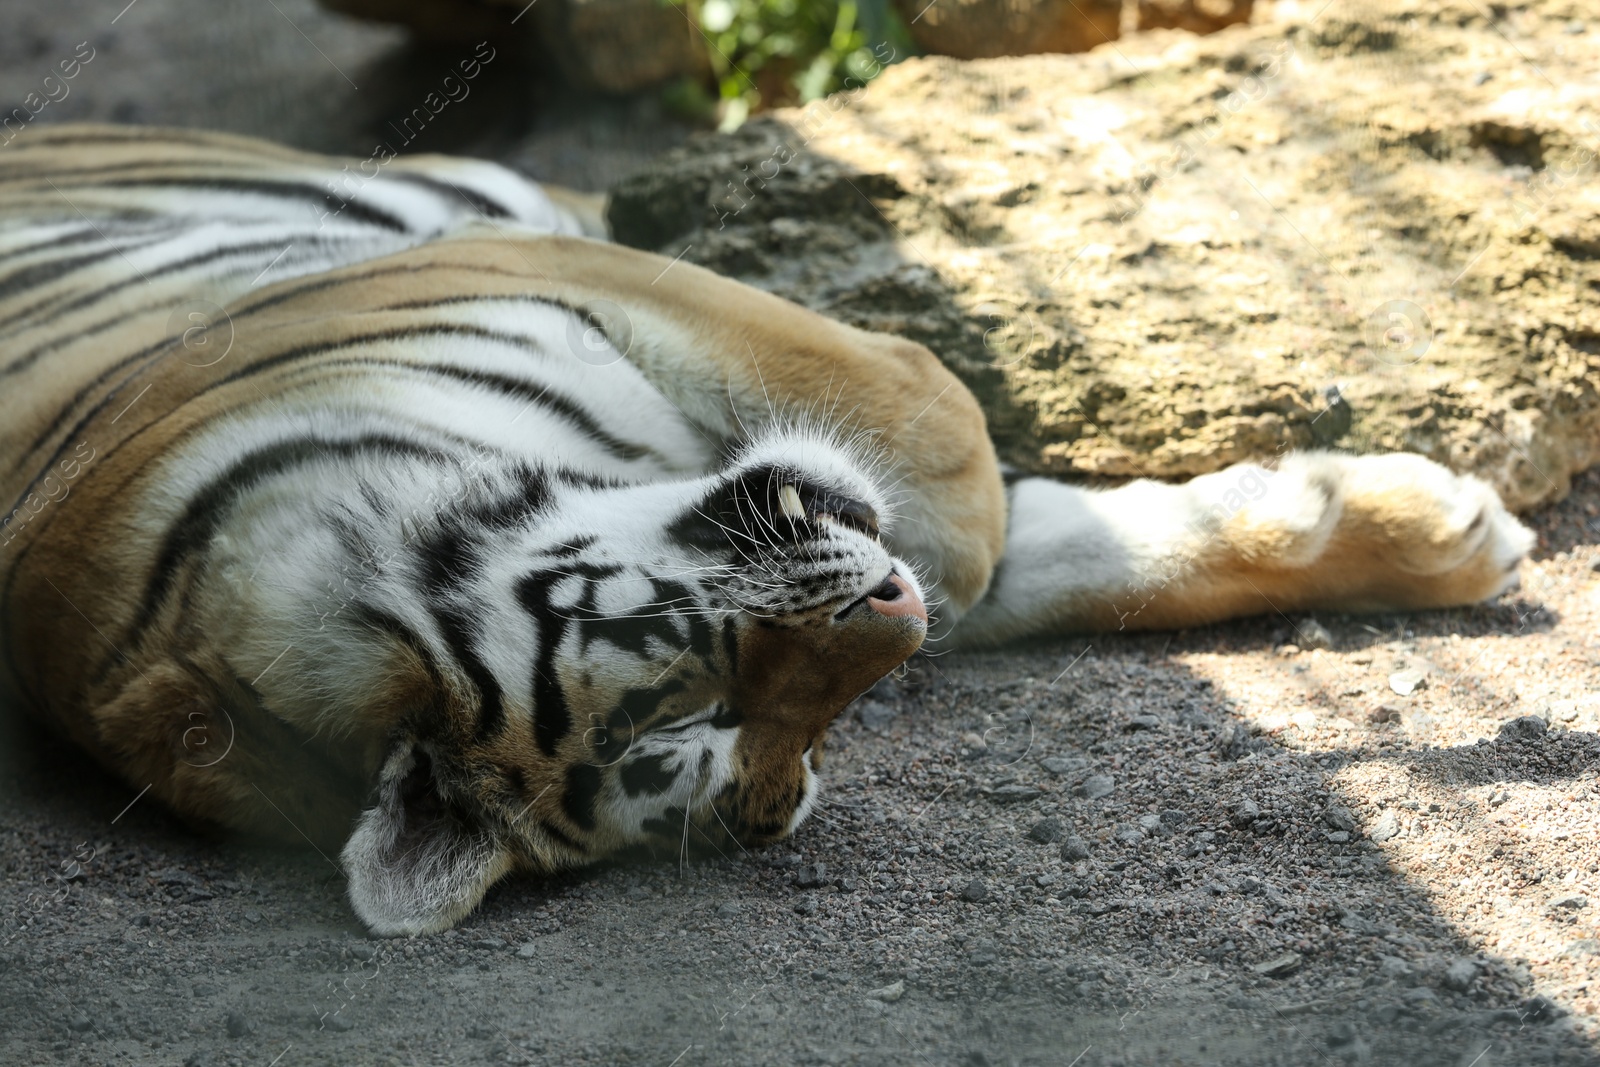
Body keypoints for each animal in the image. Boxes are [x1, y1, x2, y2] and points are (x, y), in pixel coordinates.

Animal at [0, 125, 1533, 936]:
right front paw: (1440, 520)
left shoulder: (569, 273)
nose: (892, 624)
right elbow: (1018, 541)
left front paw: (1445, 526)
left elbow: (949, 454)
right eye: (729, 725)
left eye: (684, 680)